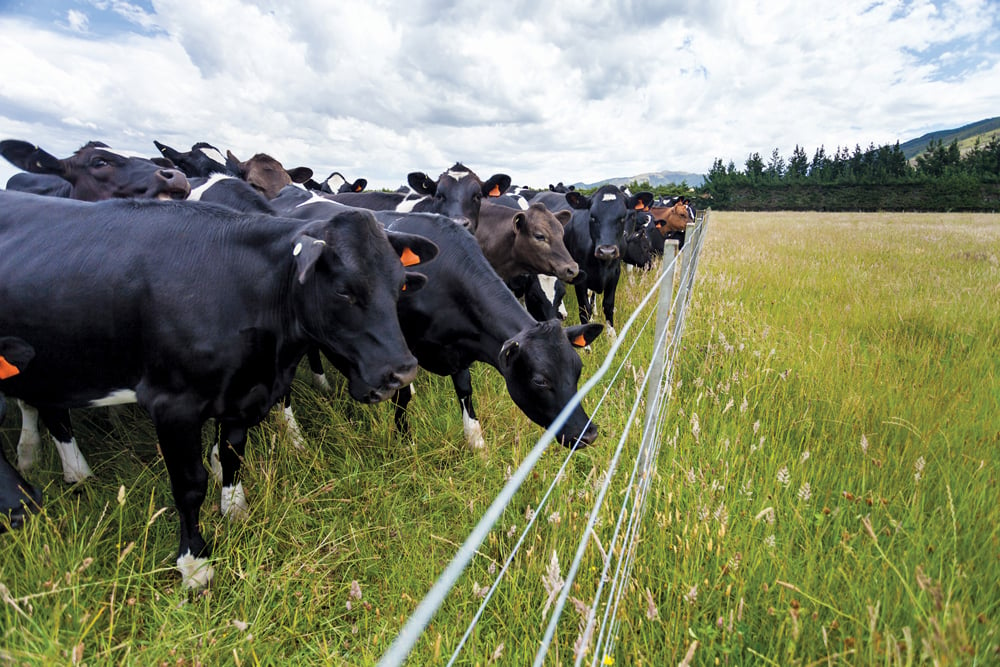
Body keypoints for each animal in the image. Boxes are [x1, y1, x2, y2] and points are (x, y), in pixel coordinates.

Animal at [0, 189, 438, 588]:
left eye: (400, 285)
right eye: (344, 290)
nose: (402, 372)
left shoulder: (242, 394)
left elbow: (231, 454)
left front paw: (235, 510)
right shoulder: (173, 405)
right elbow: (189, 486)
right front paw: (195, 565)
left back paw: (57, 466)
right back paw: (65, 470)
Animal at [532, 185, 656, 336]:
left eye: (626, 216)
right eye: (592, 216)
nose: (607, 251)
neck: (602, 265)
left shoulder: (614, 274)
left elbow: (608, 305)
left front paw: (612, 336)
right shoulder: (580, 277)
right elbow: (584, 309)